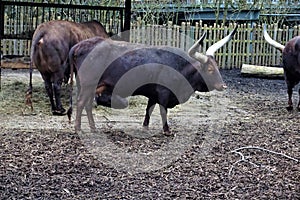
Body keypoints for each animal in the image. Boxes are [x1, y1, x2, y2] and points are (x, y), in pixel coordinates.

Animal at [67, 25, 237, 134]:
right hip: (88, 85)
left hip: (93, 86)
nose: (223, 86)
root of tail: (79, 46)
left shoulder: (153, 94)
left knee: (88, 104)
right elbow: (163, 111)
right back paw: (78, 128)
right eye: (209, 69)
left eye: (217, 67)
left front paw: (145, 126)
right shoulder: (163, 93)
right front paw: (167, 130)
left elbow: (149, 109)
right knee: (81, 103)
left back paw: (93, 127)